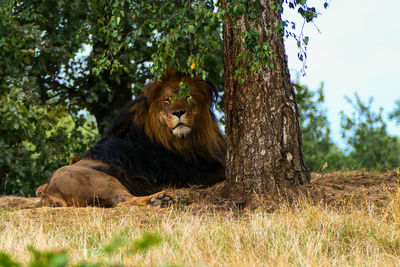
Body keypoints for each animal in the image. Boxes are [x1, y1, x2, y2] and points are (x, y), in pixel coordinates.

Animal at [38, 68, 227, 208]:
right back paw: (161, 199)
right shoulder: (190, 171)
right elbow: (223, 169)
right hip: (103, 180)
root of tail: (49, 191)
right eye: (166, 100)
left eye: (188, 96)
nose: (179, 112)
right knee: (124, 200)